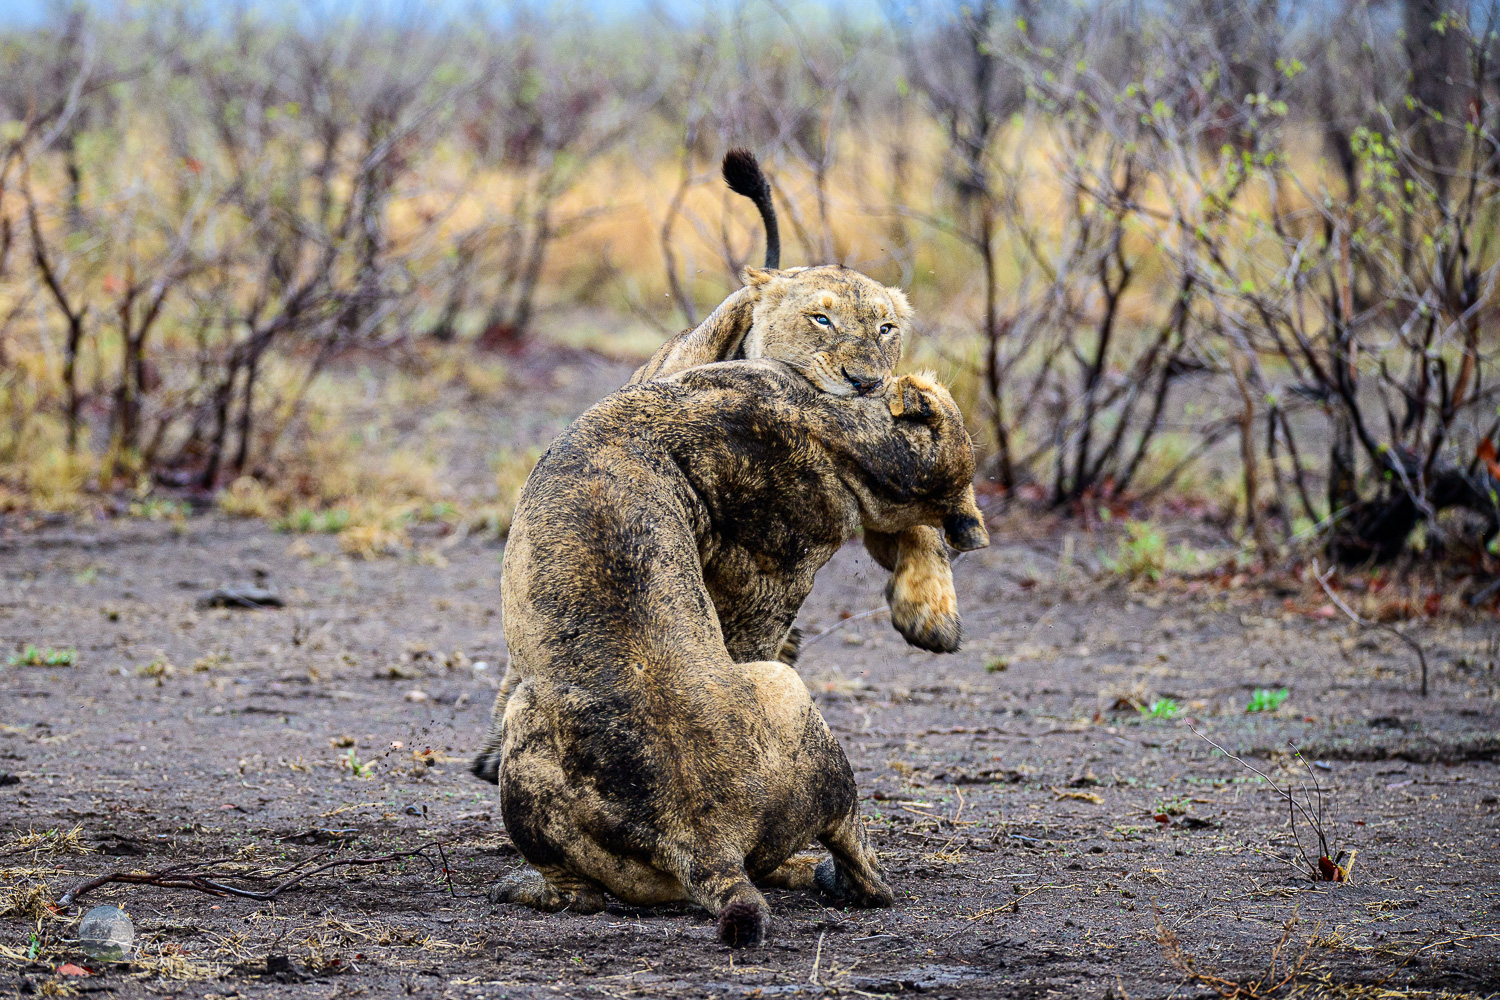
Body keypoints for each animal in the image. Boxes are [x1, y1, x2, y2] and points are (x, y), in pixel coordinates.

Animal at [477, 359, 984, 947]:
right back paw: (816, 874)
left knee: (580, 896)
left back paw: (520, 886)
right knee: (859, 871)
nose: (969, 530)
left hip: (552, 721)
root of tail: (701, 838)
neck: (843, 447)